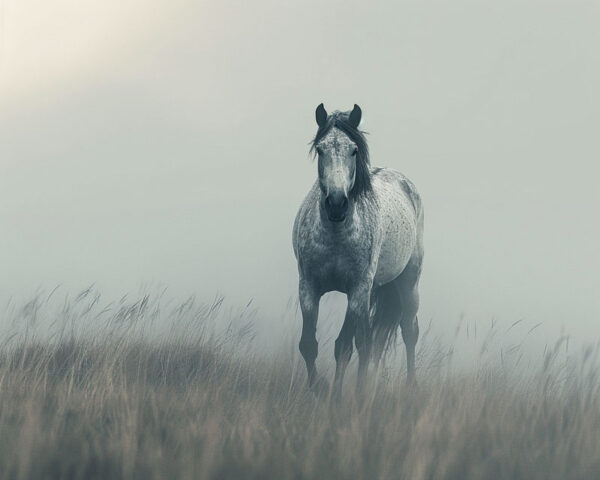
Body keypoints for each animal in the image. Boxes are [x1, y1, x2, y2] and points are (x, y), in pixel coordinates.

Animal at [292, 105, 424, 402]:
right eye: (321, 149)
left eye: (353, 150)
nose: (337, 203)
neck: (335, 235)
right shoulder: (309, 287)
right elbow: (309, 344)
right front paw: (319, 388)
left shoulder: (357, 290)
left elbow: (345, 347)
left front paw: (342, 394)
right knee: (367, 342)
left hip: (407, 283)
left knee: (408, 331)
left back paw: (411, 386)